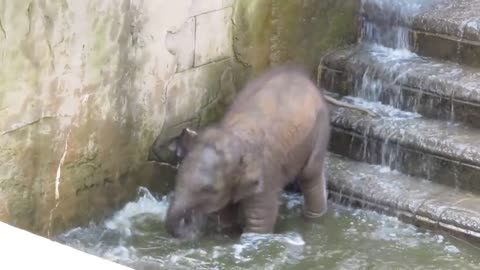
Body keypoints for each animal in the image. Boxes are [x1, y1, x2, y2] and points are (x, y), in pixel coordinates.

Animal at [165, 65, 330, 240]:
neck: (236, 135)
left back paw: (313, 218)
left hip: (320, 130)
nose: (191, 223)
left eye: (209, 190)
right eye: (177, 177)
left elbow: (259, 224)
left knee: (310, 175)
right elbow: (225, 216)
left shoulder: (267, 175)